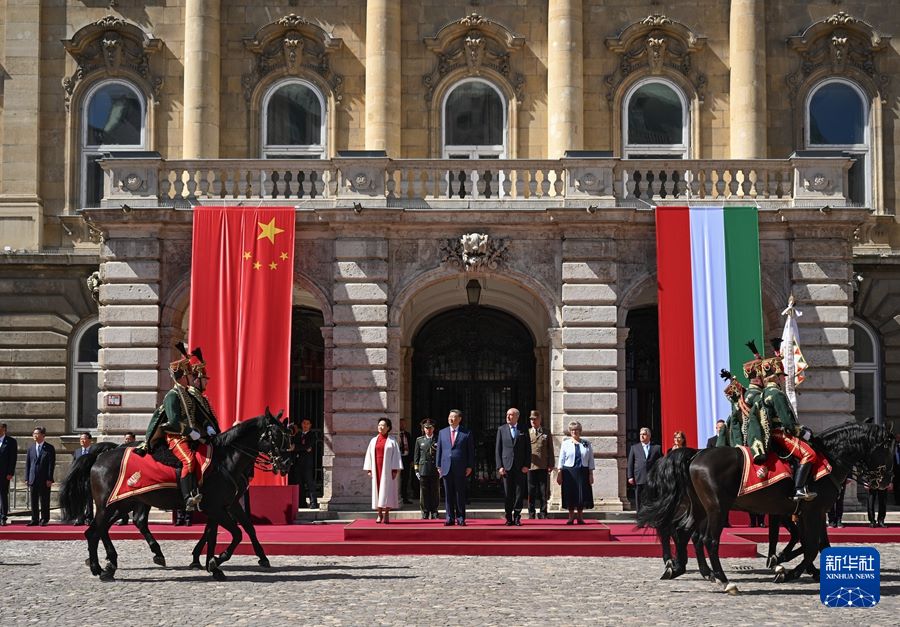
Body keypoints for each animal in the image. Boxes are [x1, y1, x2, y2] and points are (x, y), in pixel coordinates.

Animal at [59, 412, 292, 584]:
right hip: (111, 504)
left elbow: (225, 532)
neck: (225, 460)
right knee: (98, 530)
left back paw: (107, 564)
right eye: (277, 435)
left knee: (100, 530)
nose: (286, 464)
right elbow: (236, 533)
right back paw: (105, 567)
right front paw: (216, 560)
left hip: (123, 503)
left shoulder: (223, 506)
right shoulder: (217, 507)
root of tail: (99, 456)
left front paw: (212, 563)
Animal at [640, 422, 892, 592]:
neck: (829, 458)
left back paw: (683, 569)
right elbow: (810, 545)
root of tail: (695, 455)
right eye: (888, 447)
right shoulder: (812, 511)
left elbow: (817, 544)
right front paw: (788, 570)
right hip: (716, 509)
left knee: (685, 532)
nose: (885, 481)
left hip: (700, 508)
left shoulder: (809, 513)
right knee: (705, 539)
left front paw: (790, 564)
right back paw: (721, 578)